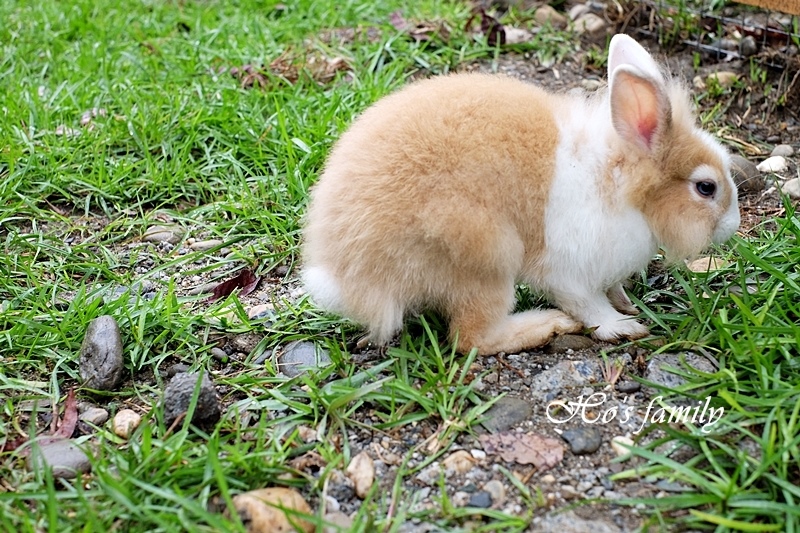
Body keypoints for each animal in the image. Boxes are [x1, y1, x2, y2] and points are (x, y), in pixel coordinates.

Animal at [304, 35, 740, 356]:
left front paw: (625, 303)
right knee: (471, 338)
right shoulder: (568, 271)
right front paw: (623, 326)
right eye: (706, 187)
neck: (619, 184)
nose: (733, 227)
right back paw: (549, 325)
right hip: (486, 258)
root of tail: (348, 276)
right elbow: (588, 304)